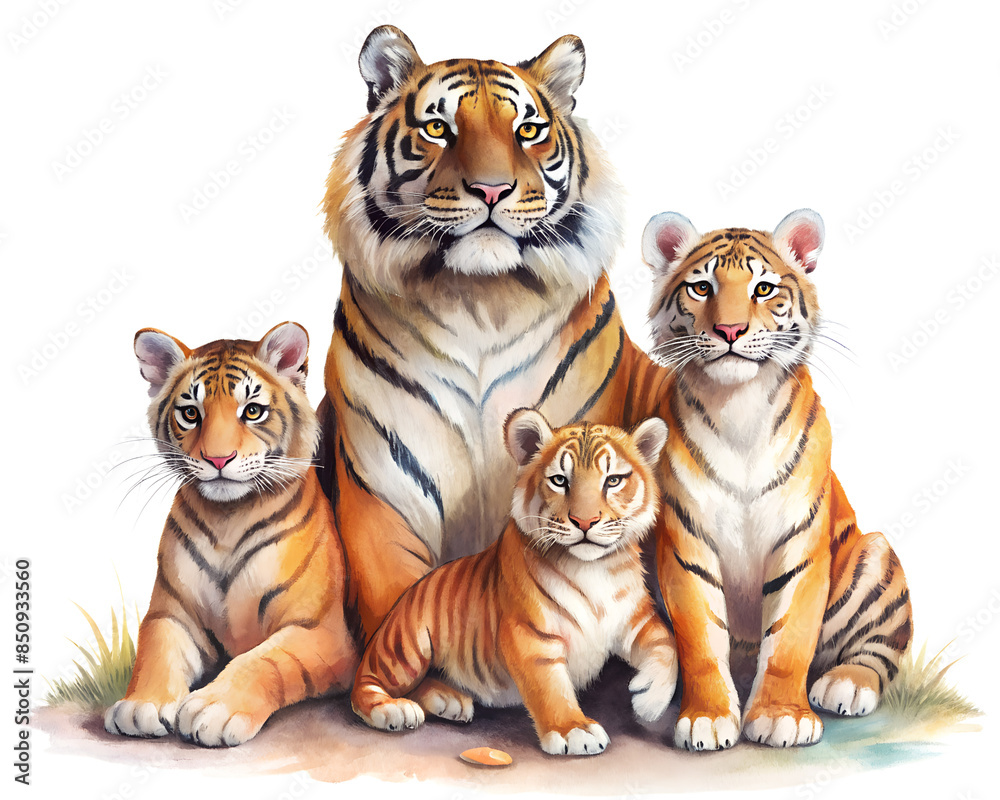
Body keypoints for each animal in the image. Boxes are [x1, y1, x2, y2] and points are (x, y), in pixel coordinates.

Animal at [104, 322, 358, 747]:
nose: (218, 459)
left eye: (252, 411)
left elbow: (265, 659)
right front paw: (142, 705)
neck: (229, 518)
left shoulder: (321, 630)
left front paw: (214, 709)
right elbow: (156, 650)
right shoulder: (172, 612)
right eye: (191, 413)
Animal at [317, 27, 672, 695]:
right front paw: (432, 689)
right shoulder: (385, 492)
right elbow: (402, 600)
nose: (491, 190)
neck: (480, 300)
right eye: (438, 128)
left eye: (528, 130)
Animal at [350, 409, 677, 756]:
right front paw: (574, 730)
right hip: (404, 648)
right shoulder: (531, 635)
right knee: (365, 683)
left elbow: (668, 646)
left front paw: (649, 701)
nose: (585, 522)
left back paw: (449, 701)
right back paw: (393, 710)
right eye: (560, 480)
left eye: (613, 480)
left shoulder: (636, 619)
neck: (593, 568)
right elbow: (550, 688)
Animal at [640, 209, 913, 750]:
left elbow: (790, 638)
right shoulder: (686, 543)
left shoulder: (799, 543)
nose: (729, 329)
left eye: (763, 289)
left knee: (880, 648)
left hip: (875, 554)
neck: (738, 405)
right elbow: (700, 639)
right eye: (701, 288)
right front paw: (706, 719)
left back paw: (846, 685)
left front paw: (782, 717)